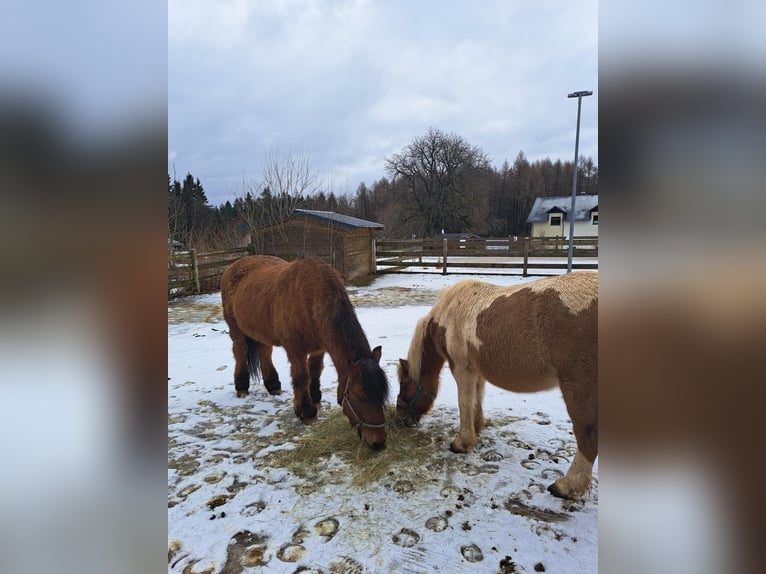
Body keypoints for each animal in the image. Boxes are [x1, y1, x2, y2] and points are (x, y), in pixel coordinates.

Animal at [220, 256, 390, 450]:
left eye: (382, 395)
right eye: (359, 397)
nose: (378, 443)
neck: (311, 298)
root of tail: (234, 265)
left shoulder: (319, 348)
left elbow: (315, 371)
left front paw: (315, 398)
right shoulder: (296, 351)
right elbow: (301, 377)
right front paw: (306, 412)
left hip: (261, 332)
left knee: (265, 353)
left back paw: (273, 385)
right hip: (235, 328)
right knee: (240, 351)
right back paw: (241, 387)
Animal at [396, 272, 600, 502]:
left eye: (403, 384)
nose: (400, 418)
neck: (447, 315)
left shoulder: (461, 368)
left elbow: (464, 402)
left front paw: (462, 443)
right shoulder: (475, 369)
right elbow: (477, 397)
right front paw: (477, 427)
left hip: (578, 387)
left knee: (587, 435)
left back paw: (566, 486)